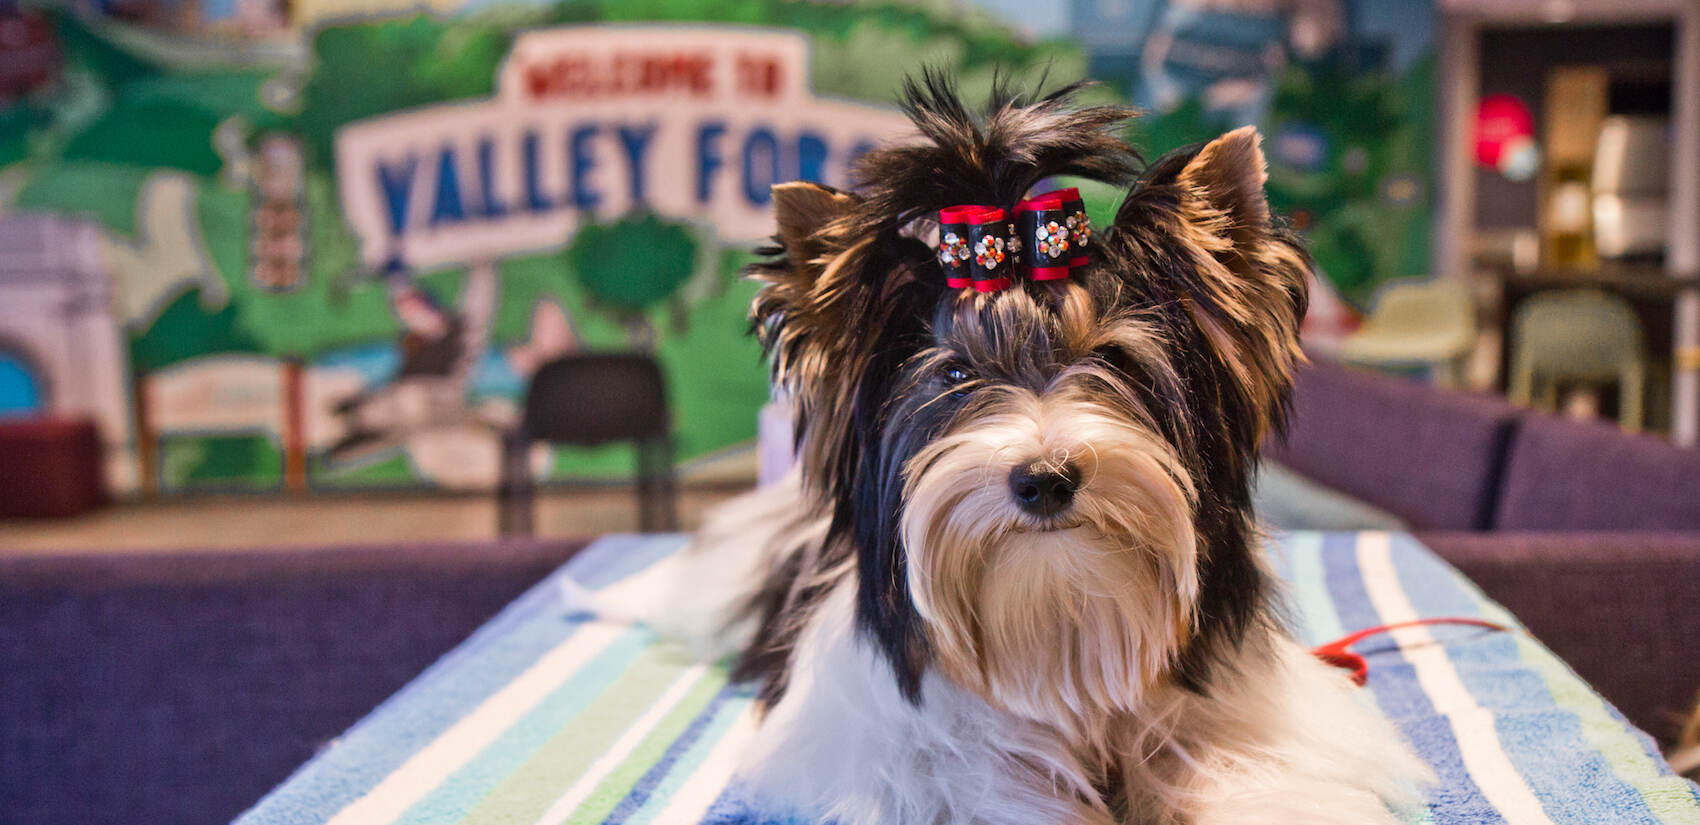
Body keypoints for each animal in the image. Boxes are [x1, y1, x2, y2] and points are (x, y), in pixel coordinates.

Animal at [605, 75, 1428, 823]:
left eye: (1115, 359)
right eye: (955, 375)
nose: (1044, 479)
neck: (1057, 620)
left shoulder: (1248, 721)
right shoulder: (899, 752)